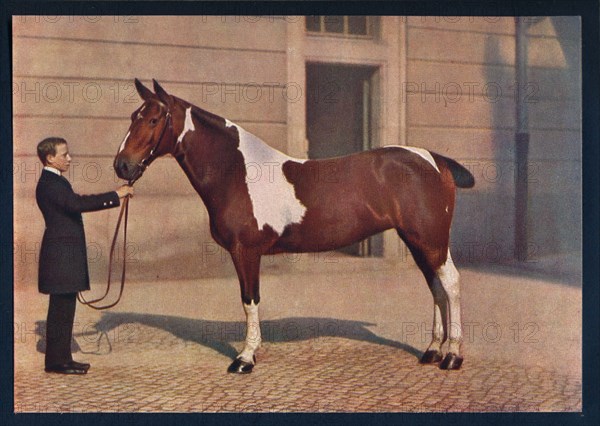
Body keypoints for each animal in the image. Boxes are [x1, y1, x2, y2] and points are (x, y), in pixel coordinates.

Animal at [115, 79, 476, 372]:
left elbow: (249, 300)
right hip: (417, 241)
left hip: (430, 239)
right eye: (132, 117)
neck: (236, 173)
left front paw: (245, 358)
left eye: (153, 119)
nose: (122, 166)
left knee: (451, 284)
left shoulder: (246, 252)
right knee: (436, 287)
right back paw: (432, 351)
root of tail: (435, 160)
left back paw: (452, 356)